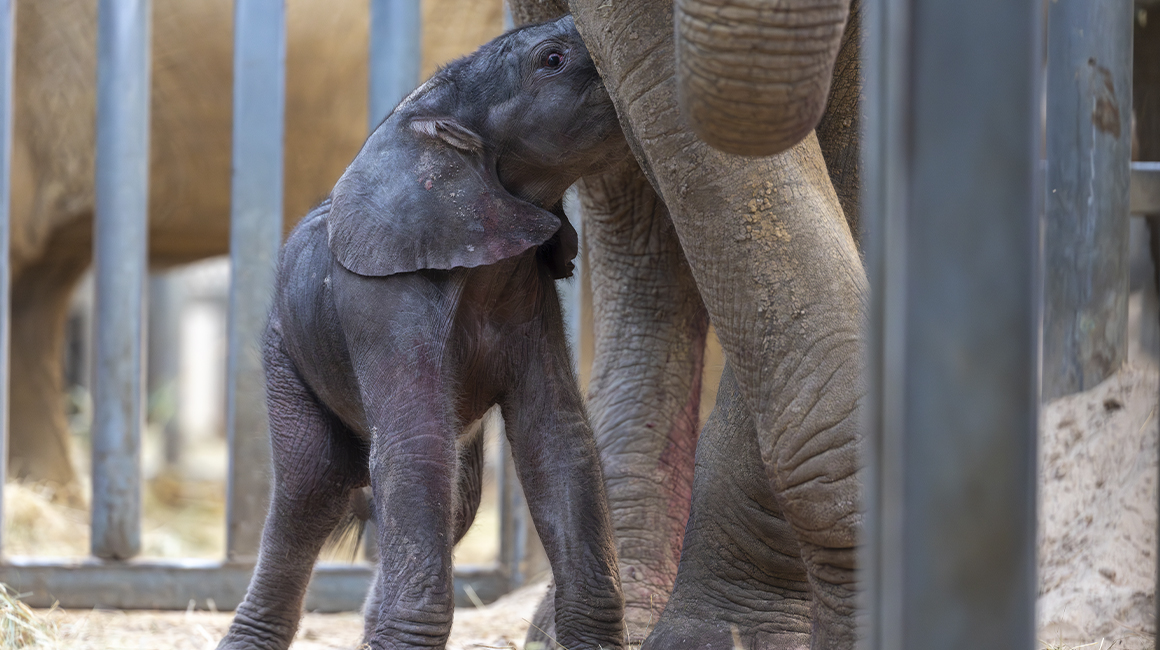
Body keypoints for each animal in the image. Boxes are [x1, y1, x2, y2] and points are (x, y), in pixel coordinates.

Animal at [218, 17, 627, 650]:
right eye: (552, 59)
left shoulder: (531, 293)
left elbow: (557, 440)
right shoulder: (382, 299)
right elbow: (416, 446)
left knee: (451, 503)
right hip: (283, 349)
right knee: (310, 491)